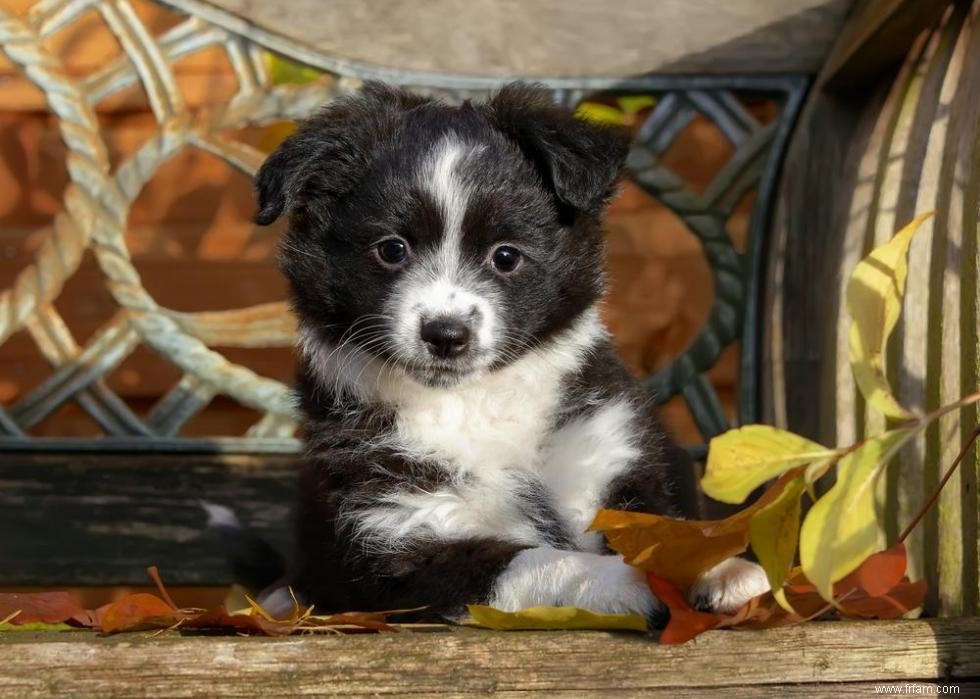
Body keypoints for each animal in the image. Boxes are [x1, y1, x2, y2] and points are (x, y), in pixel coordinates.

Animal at [255, 82, 772, 624]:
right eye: (392, 249)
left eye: (505, 256)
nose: (446, 334)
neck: (475, 400)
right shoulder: (399, 537)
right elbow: (538, 560)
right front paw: (630, 582)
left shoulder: (609, 451)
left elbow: (664, 528)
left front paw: (718, 567)